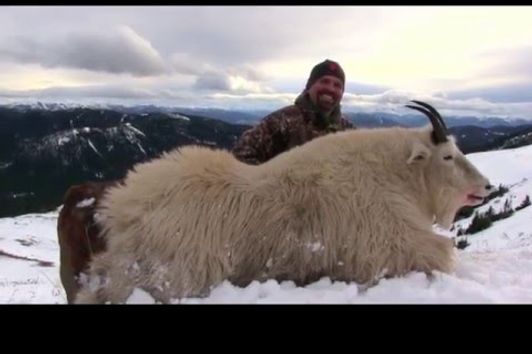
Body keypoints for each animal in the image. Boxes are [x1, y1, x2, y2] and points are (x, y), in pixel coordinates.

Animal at [74, 101, 490, 302]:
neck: (394, 175)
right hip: (173, 274)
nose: (485, 186)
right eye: (448, 156)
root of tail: (122, 211)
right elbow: (441, 254)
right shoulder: (390, 244)